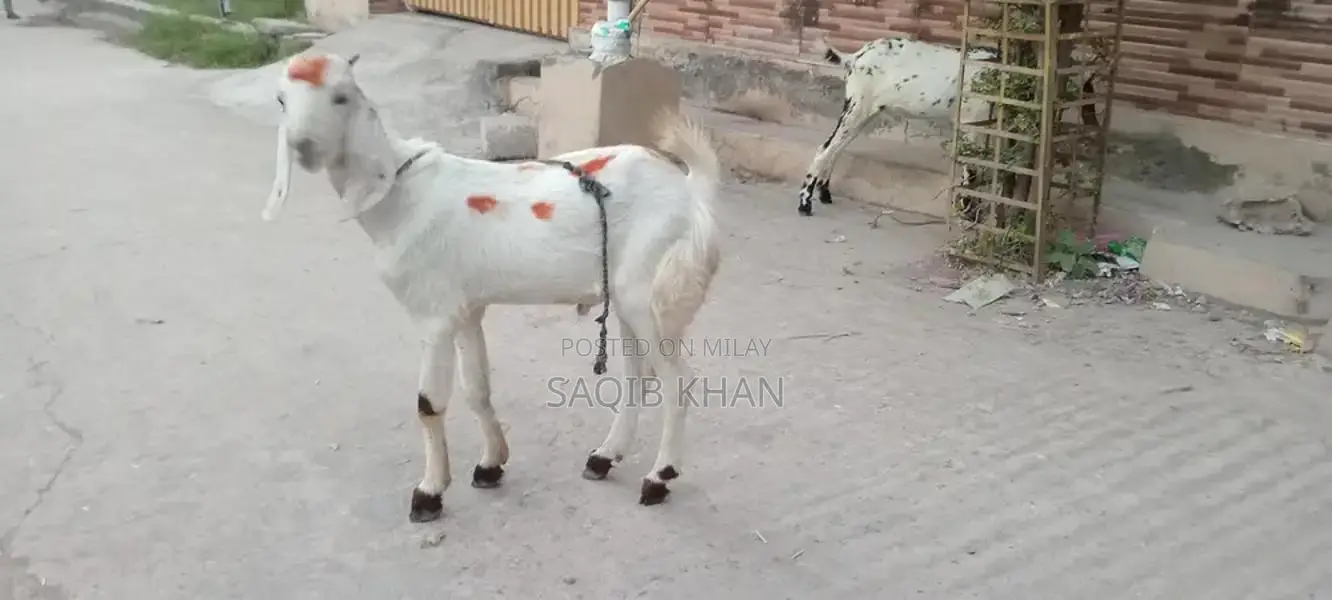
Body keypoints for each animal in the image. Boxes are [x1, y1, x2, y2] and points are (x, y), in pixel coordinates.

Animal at [263, 53, 723, 523]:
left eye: (341, 96)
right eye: (281, 100)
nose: (302, 146)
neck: (401, 195)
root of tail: (691, 190)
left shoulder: (434, 315)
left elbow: (429, 403)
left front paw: (429, 493)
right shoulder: (466, 309)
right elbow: (476, 388)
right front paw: (490, 464)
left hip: (652, 290)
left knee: (677, 381)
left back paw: (658, 478)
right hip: (630, 297)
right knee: (638, 378)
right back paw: (603, 457)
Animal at [797, 36, 998, 216]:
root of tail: (854, 58)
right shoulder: (970, 123)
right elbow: (972, 170)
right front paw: (967, 210)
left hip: (862, 114)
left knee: (835, 150)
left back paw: (824, 194)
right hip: (855, 108)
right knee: (824, 149)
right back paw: (805, 204)